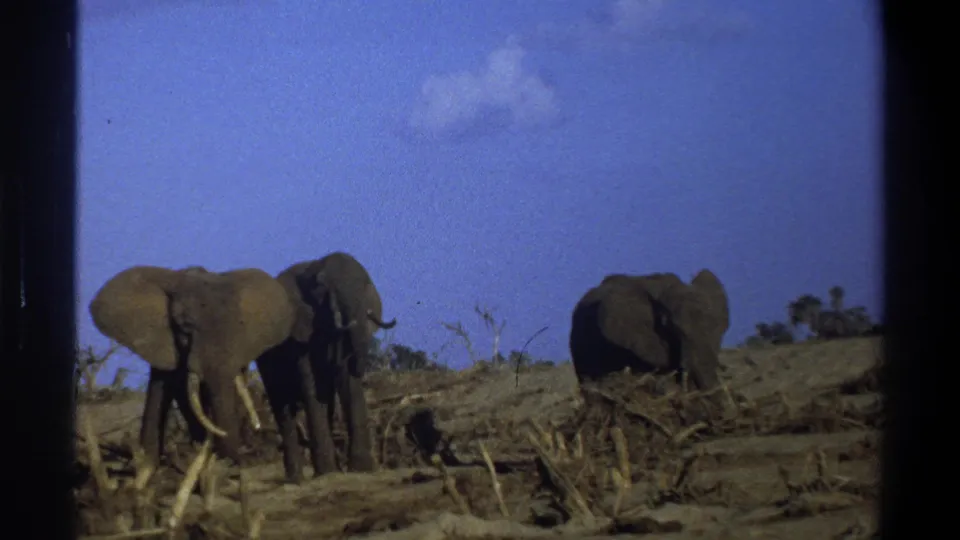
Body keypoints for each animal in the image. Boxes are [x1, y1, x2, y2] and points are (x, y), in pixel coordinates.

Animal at [256, 251, 396, 484]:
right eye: (323, 289)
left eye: (366, 285)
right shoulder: (299, 329)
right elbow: (312, 384)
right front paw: (328, 473)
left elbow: (347, 383)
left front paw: (362, 469)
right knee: (282, 406)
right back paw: (296, 479)